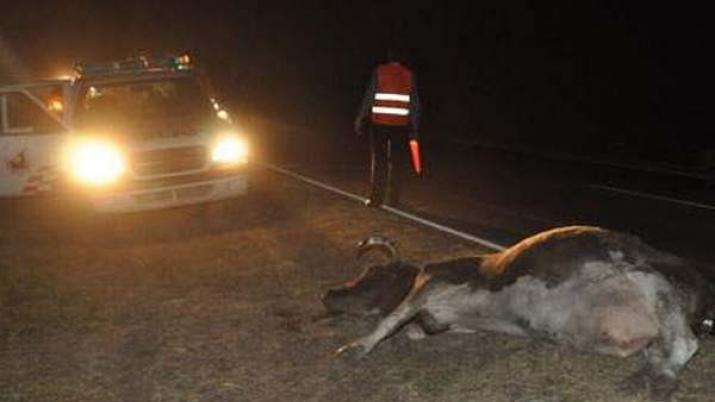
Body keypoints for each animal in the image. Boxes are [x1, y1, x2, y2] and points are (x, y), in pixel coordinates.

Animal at [324, 226, 715, 398]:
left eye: (373, 272)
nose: (328, 293)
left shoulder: (436, 282)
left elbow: (391, 317)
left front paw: (354, 348)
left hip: (652, 284)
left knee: (685, 343)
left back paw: (656, 379)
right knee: (660, 347)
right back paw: (649, 370)